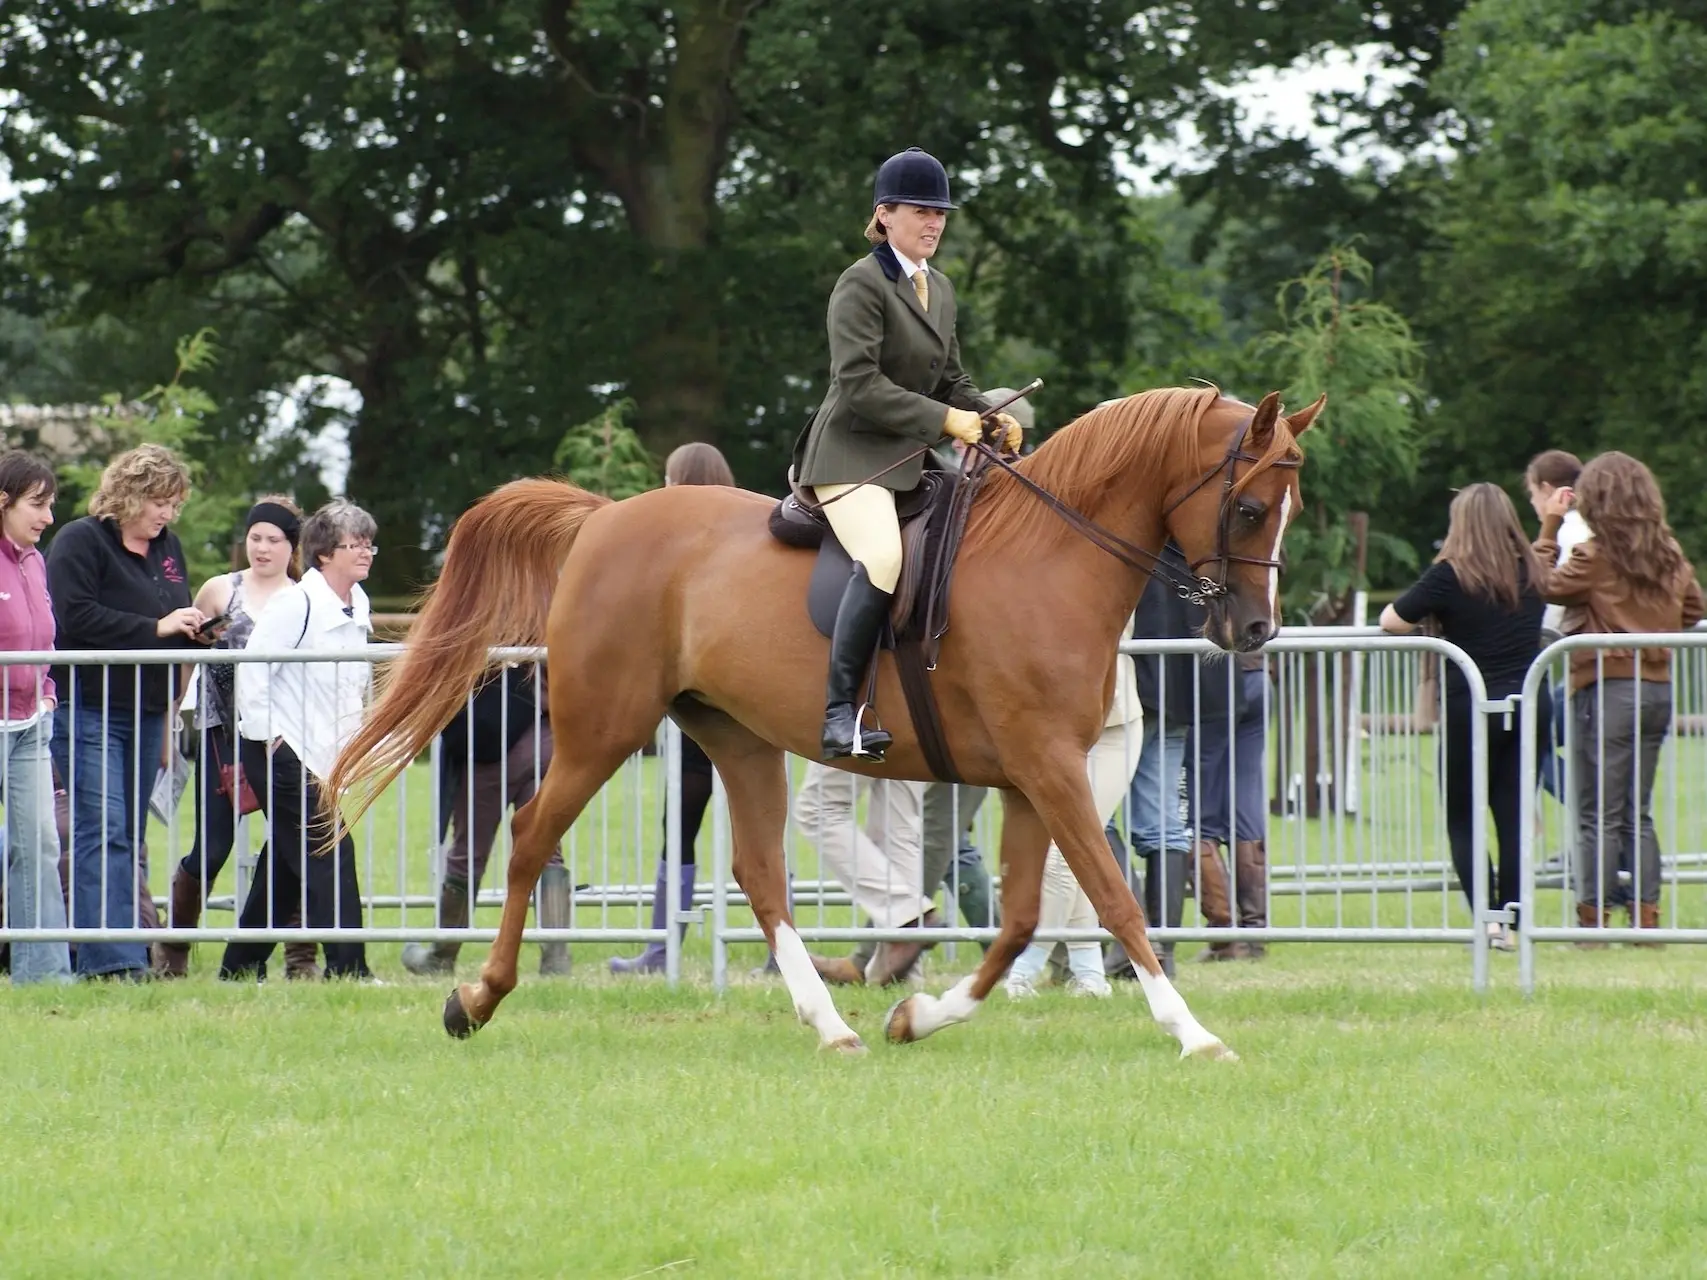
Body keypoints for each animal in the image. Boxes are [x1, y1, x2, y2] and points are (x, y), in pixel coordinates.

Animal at [332, 389, 1317, 1064]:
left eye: (1288, 510)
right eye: (1246, 508)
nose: (1253, 633)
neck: (1049, 557)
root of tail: (605, 519)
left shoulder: (1035, 776)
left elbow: (1020, 919)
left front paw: (916, 1016)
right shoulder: (1048, 770)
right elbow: (1113, 900)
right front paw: (1191, 1034)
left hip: (734, 737)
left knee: (759, 873)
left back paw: (831, 1024)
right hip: (603, 728)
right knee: (535, 835)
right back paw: (475, 998)